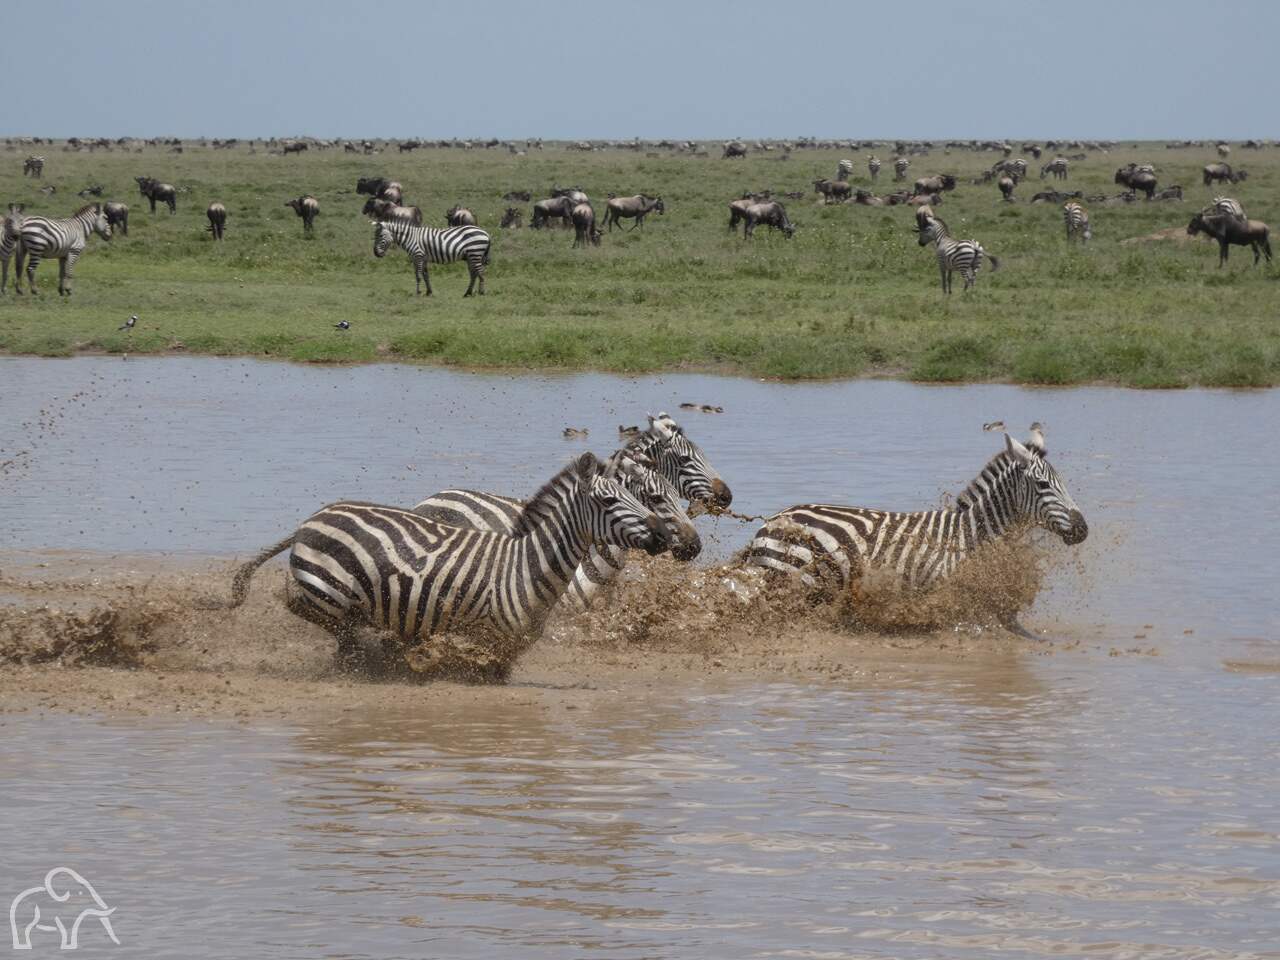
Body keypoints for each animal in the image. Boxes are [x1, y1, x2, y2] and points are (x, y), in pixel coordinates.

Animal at [212, 455, 670, 680]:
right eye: (609, 501)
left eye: (639, 497)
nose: (665, 536)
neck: (526, 565)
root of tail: (310, 521)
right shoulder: (481, 639)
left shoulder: (507, 651)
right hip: (328, 590)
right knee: (303, 606)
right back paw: (362, 655)